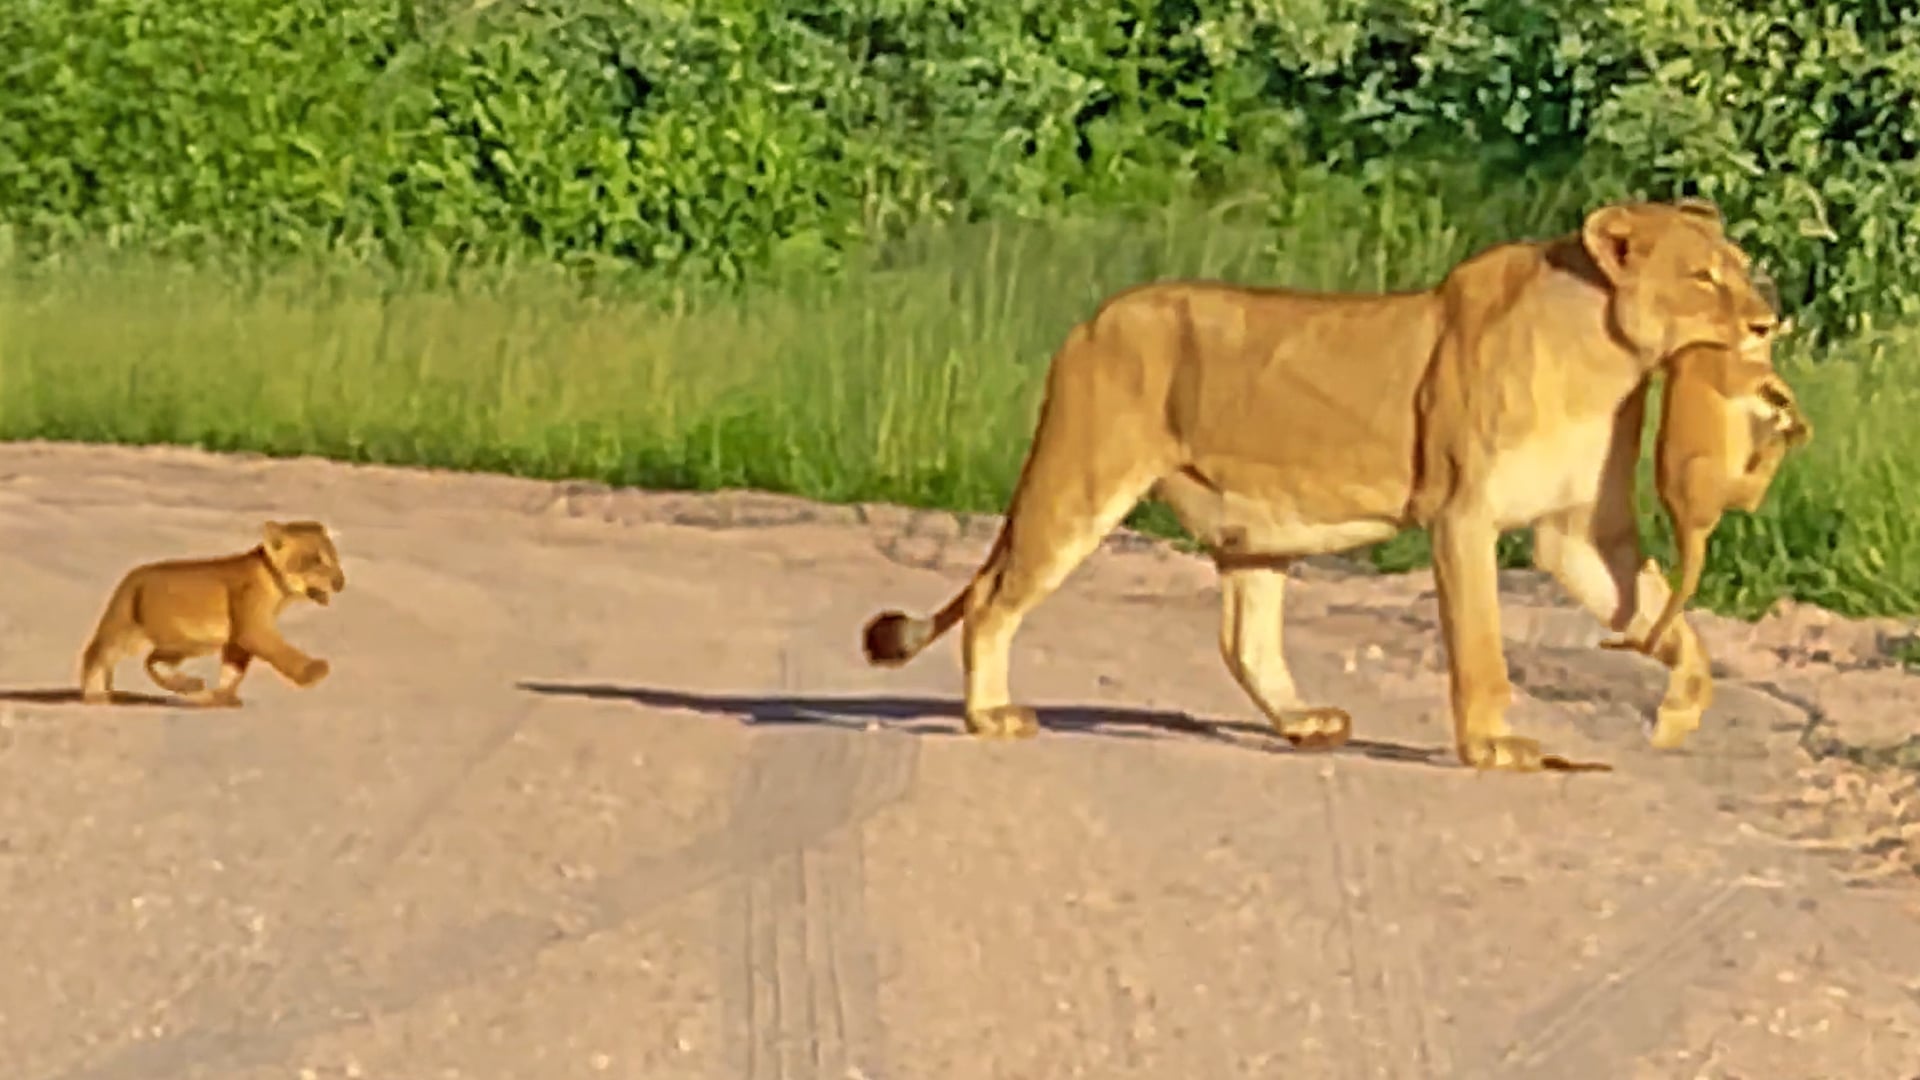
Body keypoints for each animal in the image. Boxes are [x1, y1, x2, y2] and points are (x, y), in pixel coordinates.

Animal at [78, 520, 346, 707]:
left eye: (335, 558)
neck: (278, 590)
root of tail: (133, 577)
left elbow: (233, 670)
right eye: (315, 560)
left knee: (117, 657)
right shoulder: (253, 629)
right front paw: (314, 672)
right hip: (184, 640)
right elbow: (281, 651)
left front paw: (222, 698)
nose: (340, 582)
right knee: (141, 660)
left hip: (143, 635)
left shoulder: (237, 640)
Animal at [860, 198, 1782, 771]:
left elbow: (1666, 619)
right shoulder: (1463, 516)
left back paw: (1303, 724)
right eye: (1704, 277)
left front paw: (1682, 707)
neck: (1605, 361)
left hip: (1255, 526)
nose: (1769, 321)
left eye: (1741, 269)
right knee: (993, 599)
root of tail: (1091, 321)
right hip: (1081, 479)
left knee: (1245, 642)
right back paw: (990, 716)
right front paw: (1494, 747)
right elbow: (1481, 647)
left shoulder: (1580, 533)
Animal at [1601, 325, 1813, 659]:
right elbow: (1759, 375)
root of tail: (1684, 525)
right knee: (1750, 496)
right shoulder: (1727, 372)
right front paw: (1785, 402)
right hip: (1705, 466)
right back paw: (1779, 441)